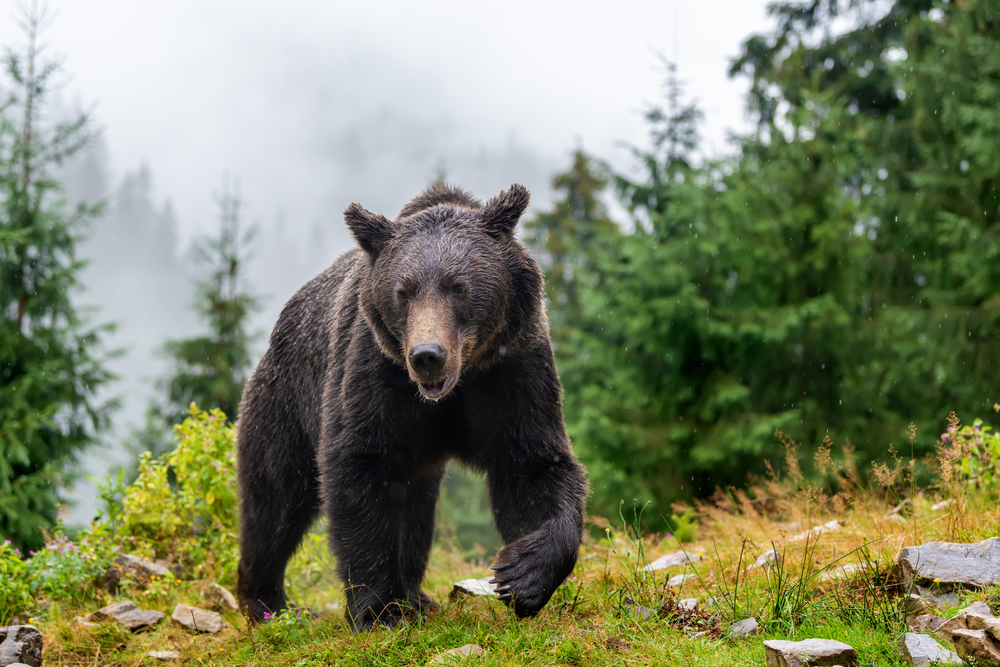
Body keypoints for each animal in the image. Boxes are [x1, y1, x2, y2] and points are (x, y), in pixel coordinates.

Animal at [235, 183, 587, 631]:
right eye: (403, 292)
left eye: (458, 286)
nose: (427, 356)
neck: (456, 385)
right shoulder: (375, 375)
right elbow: (361, 467)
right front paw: (380, 610)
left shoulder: (512, 372)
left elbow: (532, 466)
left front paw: (523, 576)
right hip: (287, 400)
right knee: (275, 499)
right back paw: (270, 603)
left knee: (417, 509)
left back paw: (417, 596)